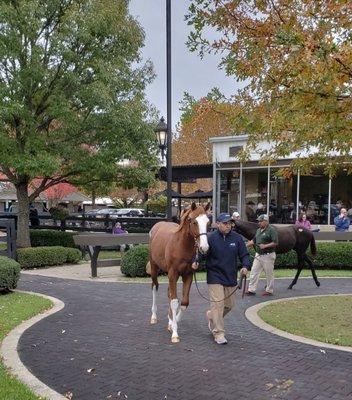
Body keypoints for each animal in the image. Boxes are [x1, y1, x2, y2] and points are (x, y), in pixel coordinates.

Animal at [148, 203, 210, 344]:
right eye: (194, 222)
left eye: (208, 222)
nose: (204, 247)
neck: (181, 246)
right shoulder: (173, 273)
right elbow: (175, 301)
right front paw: (175, 333)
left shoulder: (188, 275)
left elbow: (184, 302)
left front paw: (172, 323)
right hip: (154, 268)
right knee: (154, 287)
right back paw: (153, 316)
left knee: (168, 293)